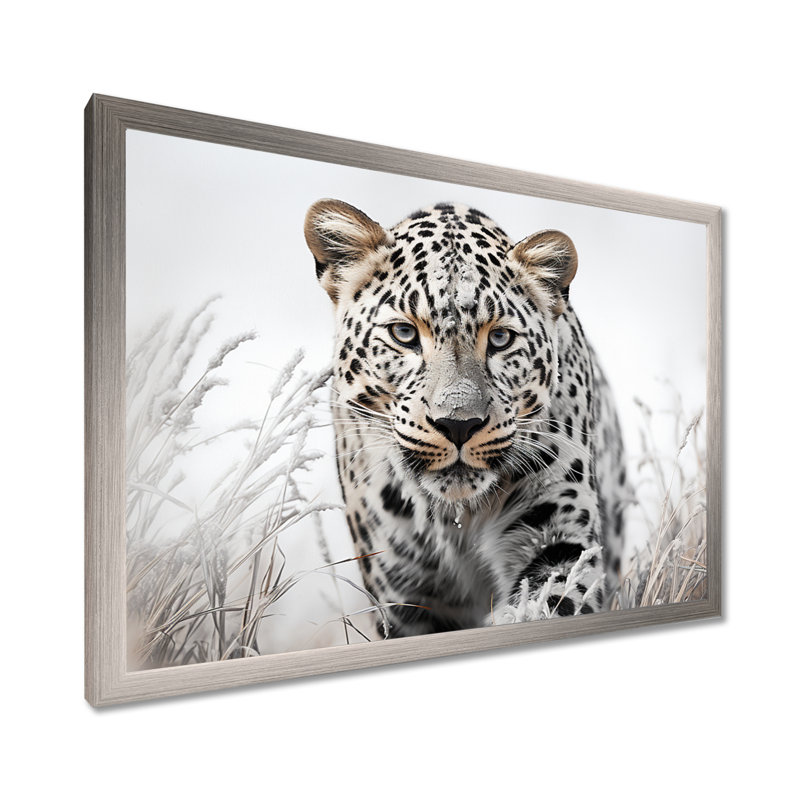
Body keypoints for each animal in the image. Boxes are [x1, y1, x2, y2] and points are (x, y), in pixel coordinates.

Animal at [305, 199, 627, 637]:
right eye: (404, 334)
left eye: (500, 339)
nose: (458, 425)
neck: (456, 519)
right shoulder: (402, 590)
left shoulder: (560, 535)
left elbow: (550, 601)